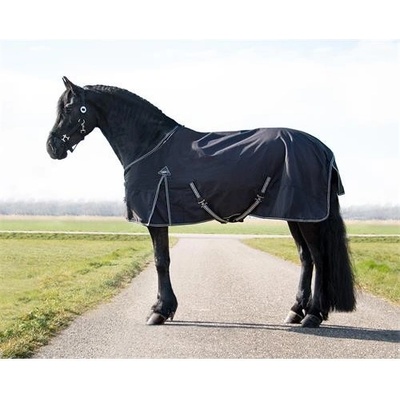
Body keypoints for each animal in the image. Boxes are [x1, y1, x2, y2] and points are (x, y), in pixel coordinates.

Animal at [46, 76, 356, 328]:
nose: (52, 147)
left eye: (69, 109)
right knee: (306, 258)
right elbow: (162, 260)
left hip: (307, 216)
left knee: (319, 258)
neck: (150, 143)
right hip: (298, 215)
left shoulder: (156, 216)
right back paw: (295, 311)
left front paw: (160, 311)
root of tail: (323, 149)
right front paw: (163, 308)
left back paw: (313, 315)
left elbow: (161, 261)